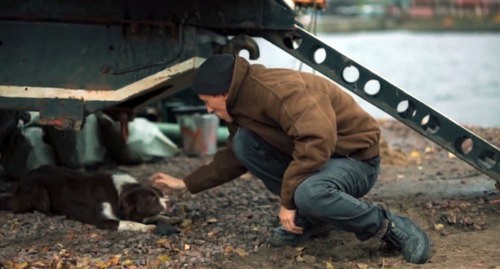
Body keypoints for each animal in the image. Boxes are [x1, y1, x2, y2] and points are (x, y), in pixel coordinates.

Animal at [0, 163, 174, 230]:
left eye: (161, 194)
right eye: (151, 198)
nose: (172, 202)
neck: (119, 193)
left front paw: (168, 219)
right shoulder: (103, 221)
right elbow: (128, 223)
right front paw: (146, 228)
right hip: (39, 191)